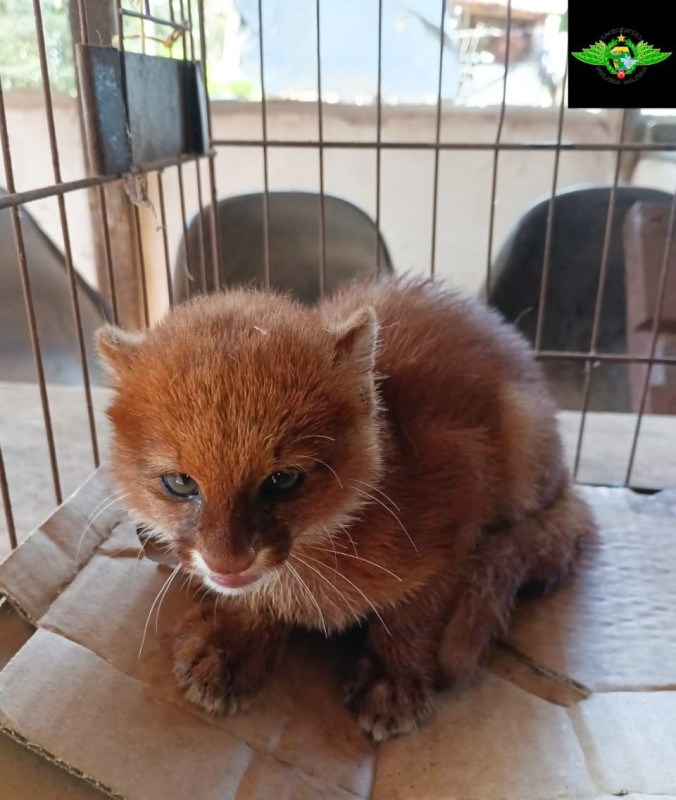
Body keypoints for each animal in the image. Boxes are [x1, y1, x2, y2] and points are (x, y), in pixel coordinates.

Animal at [97, 278, 596, 740]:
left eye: (282, 479)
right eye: (181, 482)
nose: (227, 562)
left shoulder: (463, 501)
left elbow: (416, 610)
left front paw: (393, 679)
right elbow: (250, 603)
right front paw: (231, 648)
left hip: (524, 446)